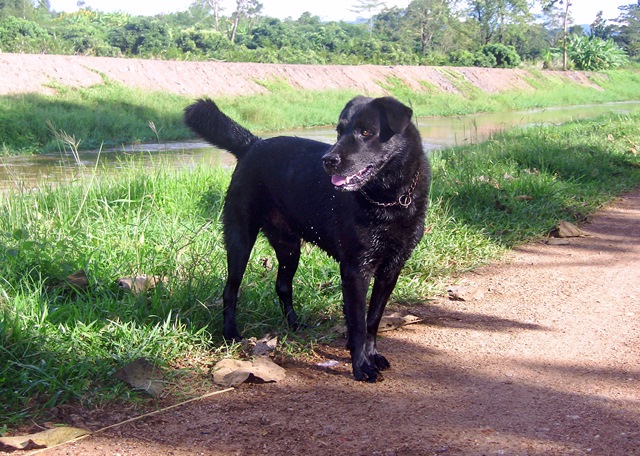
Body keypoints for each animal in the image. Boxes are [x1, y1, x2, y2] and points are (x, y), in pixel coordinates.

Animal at [188, 96, 432, 382]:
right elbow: (358, 324)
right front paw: (361, 366)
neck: (388, 199)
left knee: (283, 286)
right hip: (240, 239)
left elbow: (372, 320)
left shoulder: (391, 269)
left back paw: (294, 325)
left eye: (366, 132)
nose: (328, 160)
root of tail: (253, 144)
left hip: (289, 247)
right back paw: (231, 334)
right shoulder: (355, 270)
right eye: (339, 131)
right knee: (230, 291)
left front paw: (372, 356)